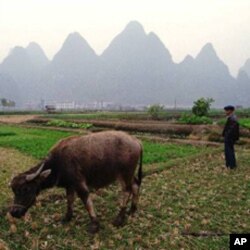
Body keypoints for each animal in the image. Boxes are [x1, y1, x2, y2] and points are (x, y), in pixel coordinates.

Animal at [8, 130, 143, 233]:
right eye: (14, 191)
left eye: (26, 189)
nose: (14, 212)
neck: (58, 163)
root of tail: (136, 141)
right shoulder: (69, 185)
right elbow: (69, 199)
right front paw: (67, 217)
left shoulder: (79, 183)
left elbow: (86, 201)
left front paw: (94, 224)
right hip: (130, 175)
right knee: (135, 185)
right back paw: (132, 210)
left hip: (125, 174)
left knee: (127, 191)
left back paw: (119, 218)